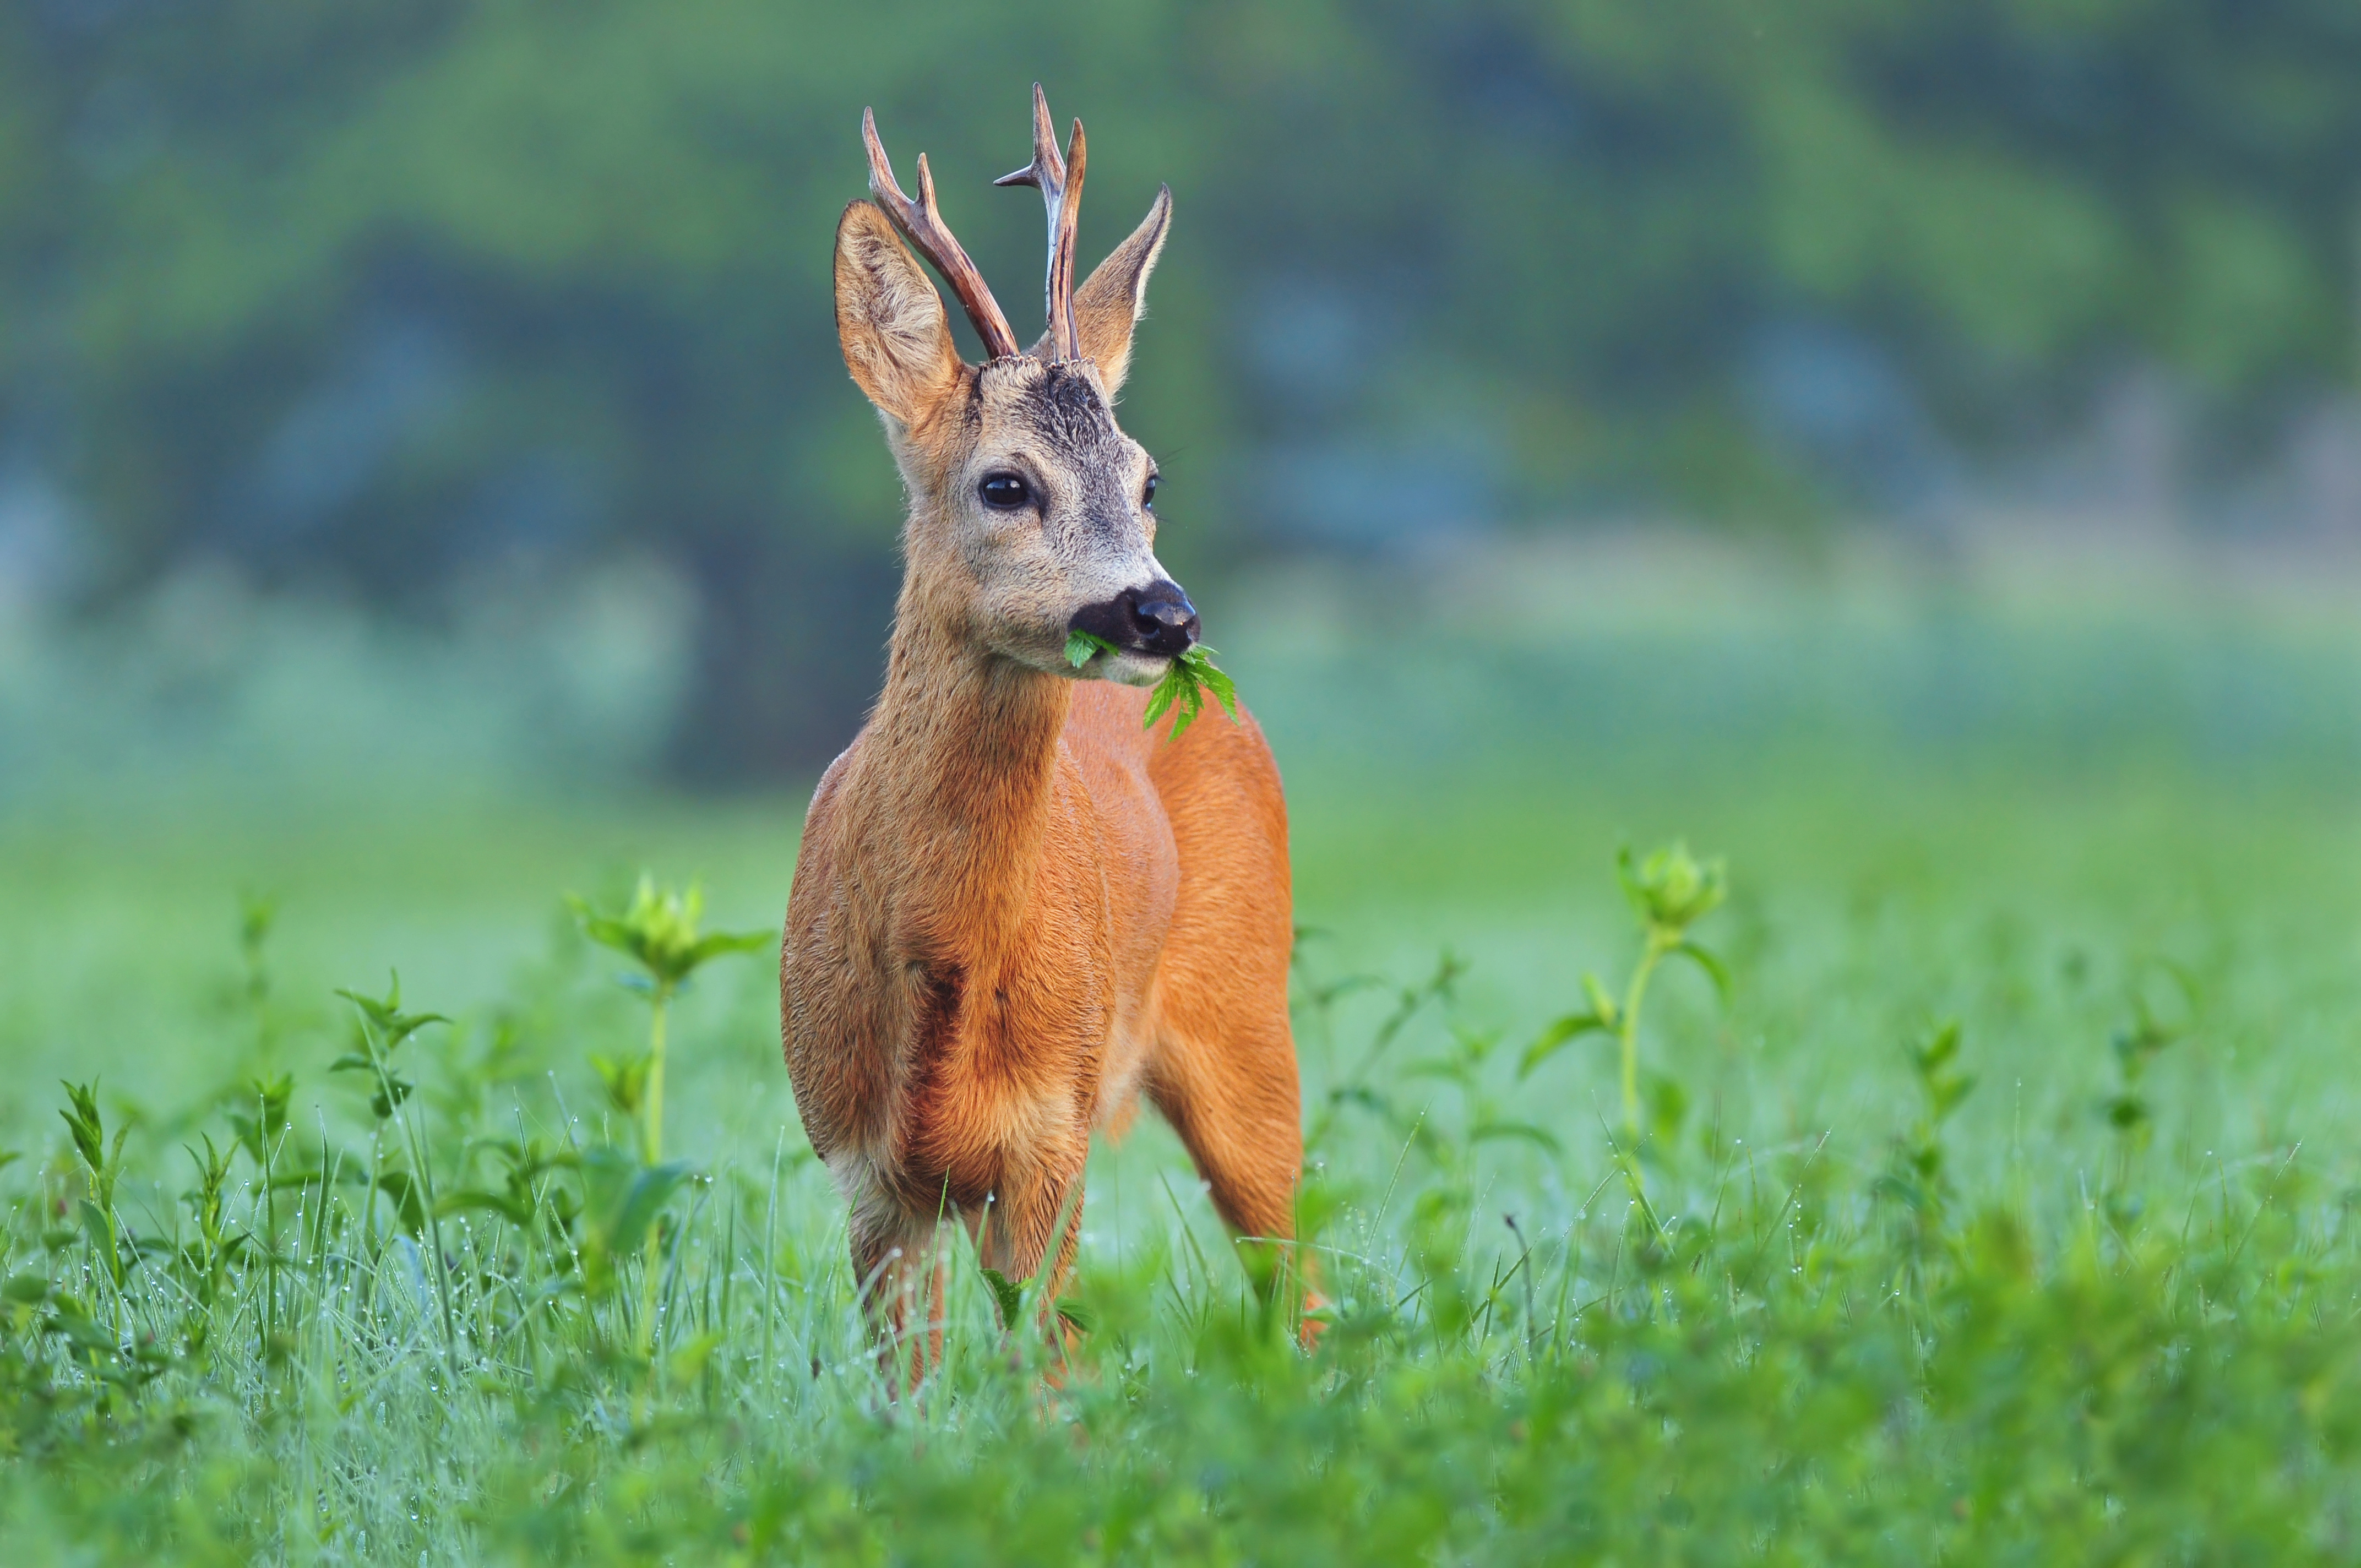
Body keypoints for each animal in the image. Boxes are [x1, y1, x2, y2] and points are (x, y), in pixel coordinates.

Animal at [788, 83, 1313, 1369]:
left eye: (1148, 476)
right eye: (1005, 483)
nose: (1163, 612)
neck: (942, 973)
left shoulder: (1050, 1146)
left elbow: (1050, 1382)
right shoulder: (866, 1175)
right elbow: (906, 1393)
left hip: (1248, 1023)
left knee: (1304, 1271)